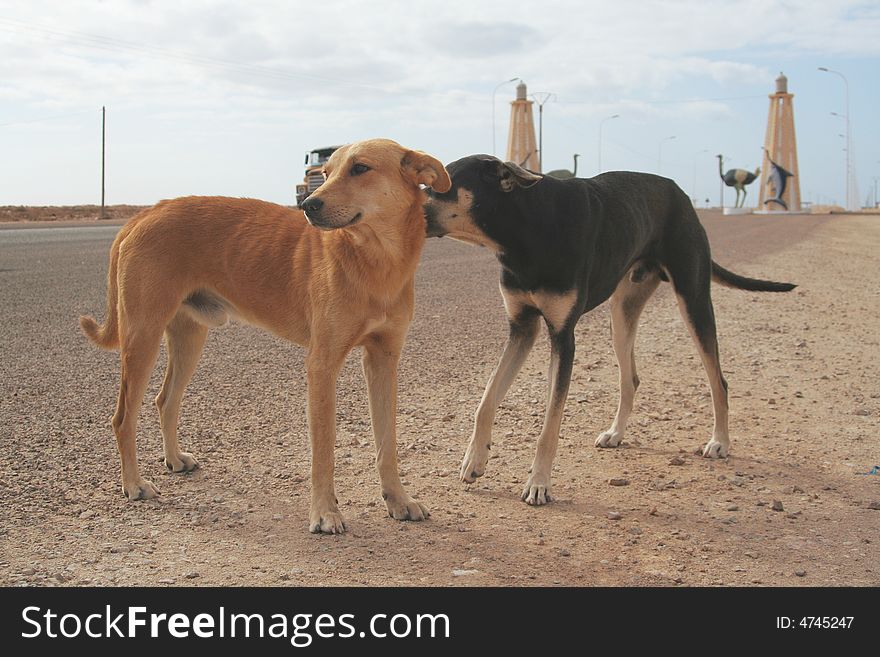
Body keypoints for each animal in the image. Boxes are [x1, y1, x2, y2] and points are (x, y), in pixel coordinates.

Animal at [79, 138, 450, 532]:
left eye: (360, 168)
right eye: (325, 172)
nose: (308, 205)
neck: (377, 261)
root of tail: (144, 214)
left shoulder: (384, 360)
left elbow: (387, 443)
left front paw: (398, 499)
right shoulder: (322, 365)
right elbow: (324, 449)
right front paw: (325, 512)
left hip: (189, 337)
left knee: (166, 400)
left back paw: (175, 459)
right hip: (142, 336)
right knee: (123, 418)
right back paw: (134, 484)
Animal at [426, 156, 796, 504]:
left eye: (441, 185)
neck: (525, 228)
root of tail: (681, 195)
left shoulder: (563, 337)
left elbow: (549, 425)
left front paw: (538, 484)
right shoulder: (522, 328)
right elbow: (486, 399)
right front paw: (474, 460)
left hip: (694, 301)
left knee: (718, 380)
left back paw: (719, 441)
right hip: (622, 316)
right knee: (630, 378)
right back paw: (616, 433)